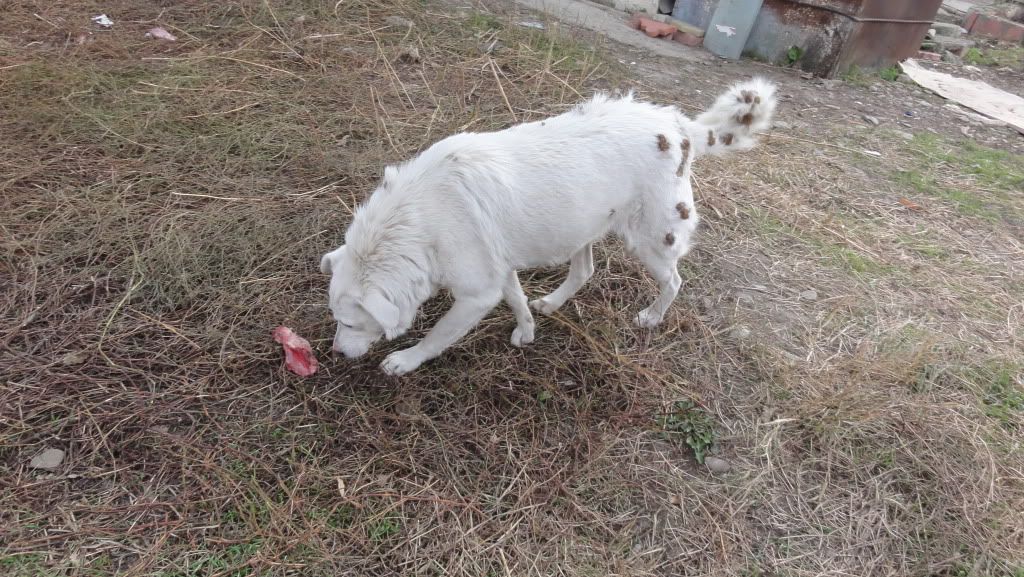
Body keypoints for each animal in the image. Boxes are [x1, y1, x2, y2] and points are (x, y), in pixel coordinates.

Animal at [321, 76, 774, 375]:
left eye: (350, 323)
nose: (336, 353)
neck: (415, 218)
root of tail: (678, 124)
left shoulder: (475, 295)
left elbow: (438, 335)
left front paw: (406, 360)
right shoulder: (498, 271)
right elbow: (518, 302)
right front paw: (527, 332)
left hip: (652, 240)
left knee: (675, 281)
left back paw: (651, 316)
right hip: (583, 227)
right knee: (585, 270)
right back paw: (554, 303)